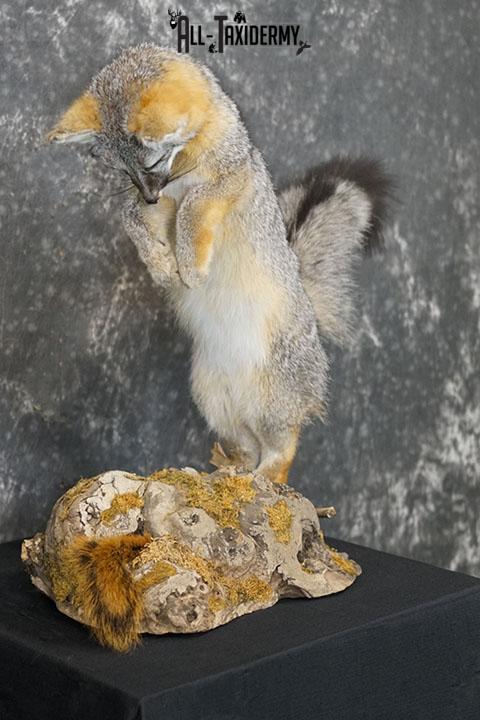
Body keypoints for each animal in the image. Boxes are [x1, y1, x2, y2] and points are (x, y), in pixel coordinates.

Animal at [48, 44, 393, 486]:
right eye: (123, 171)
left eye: (151, 164)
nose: (149, 195)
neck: (183, 169)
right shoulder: (159, 203)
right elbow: (130, 218)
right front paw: (162, 265)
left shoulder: (229, 179)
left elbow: (194, 207)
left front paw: (191, 266)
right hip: (217, 404)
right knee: (246, 447)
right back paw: (228, 474)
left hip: (272, 408)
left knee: (284, 451)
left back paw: (264, 478)